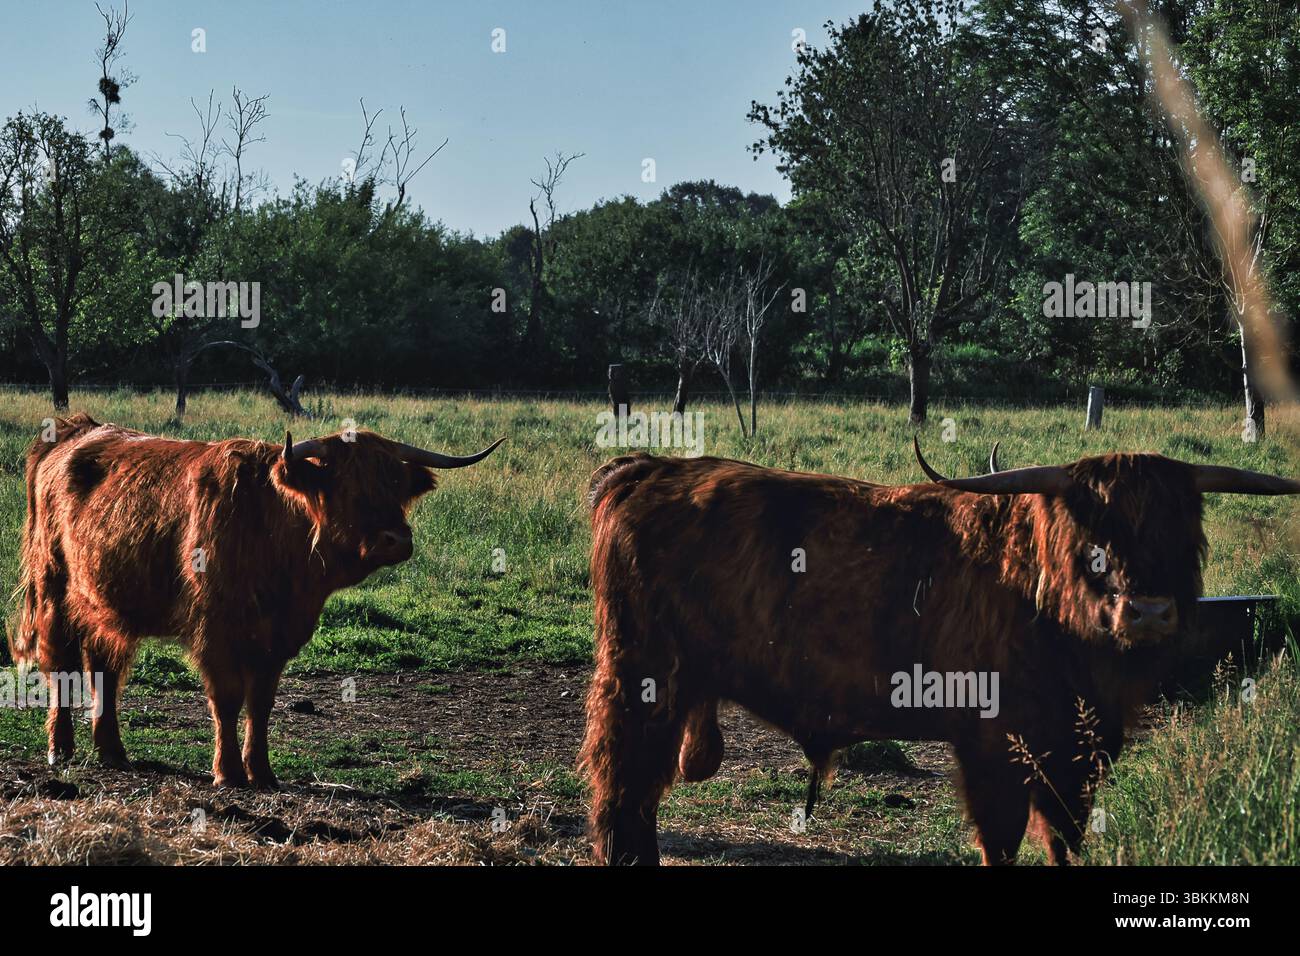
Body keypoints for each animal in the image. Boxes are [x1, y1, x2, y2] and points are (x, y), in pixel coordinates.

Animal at [9, 413, 502, 788]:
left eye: (397, 484)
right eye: (349, 485)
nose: (396, 539)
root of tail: (76, 430)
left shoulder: (278, 637)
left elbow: (260, 703)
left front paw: (261, 772)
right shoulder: (216, 631)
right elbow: (227, 700)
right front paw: (228, 773)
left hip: (103, 603)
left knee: (105, 672)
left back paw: (111, 750)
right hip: (53, 590)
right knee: (60, 665)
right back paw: (59, 749)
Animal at [580, 443, 1300, 865]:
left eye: (1183, 525)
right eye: (1093, 530)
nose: (1148, 611)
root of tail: (650, 467)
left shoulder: (1079, 749)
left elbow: (1065, 836)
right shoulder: (992, 746)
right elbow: (1002, 838)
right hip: (642, 677)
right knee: (622, 784)